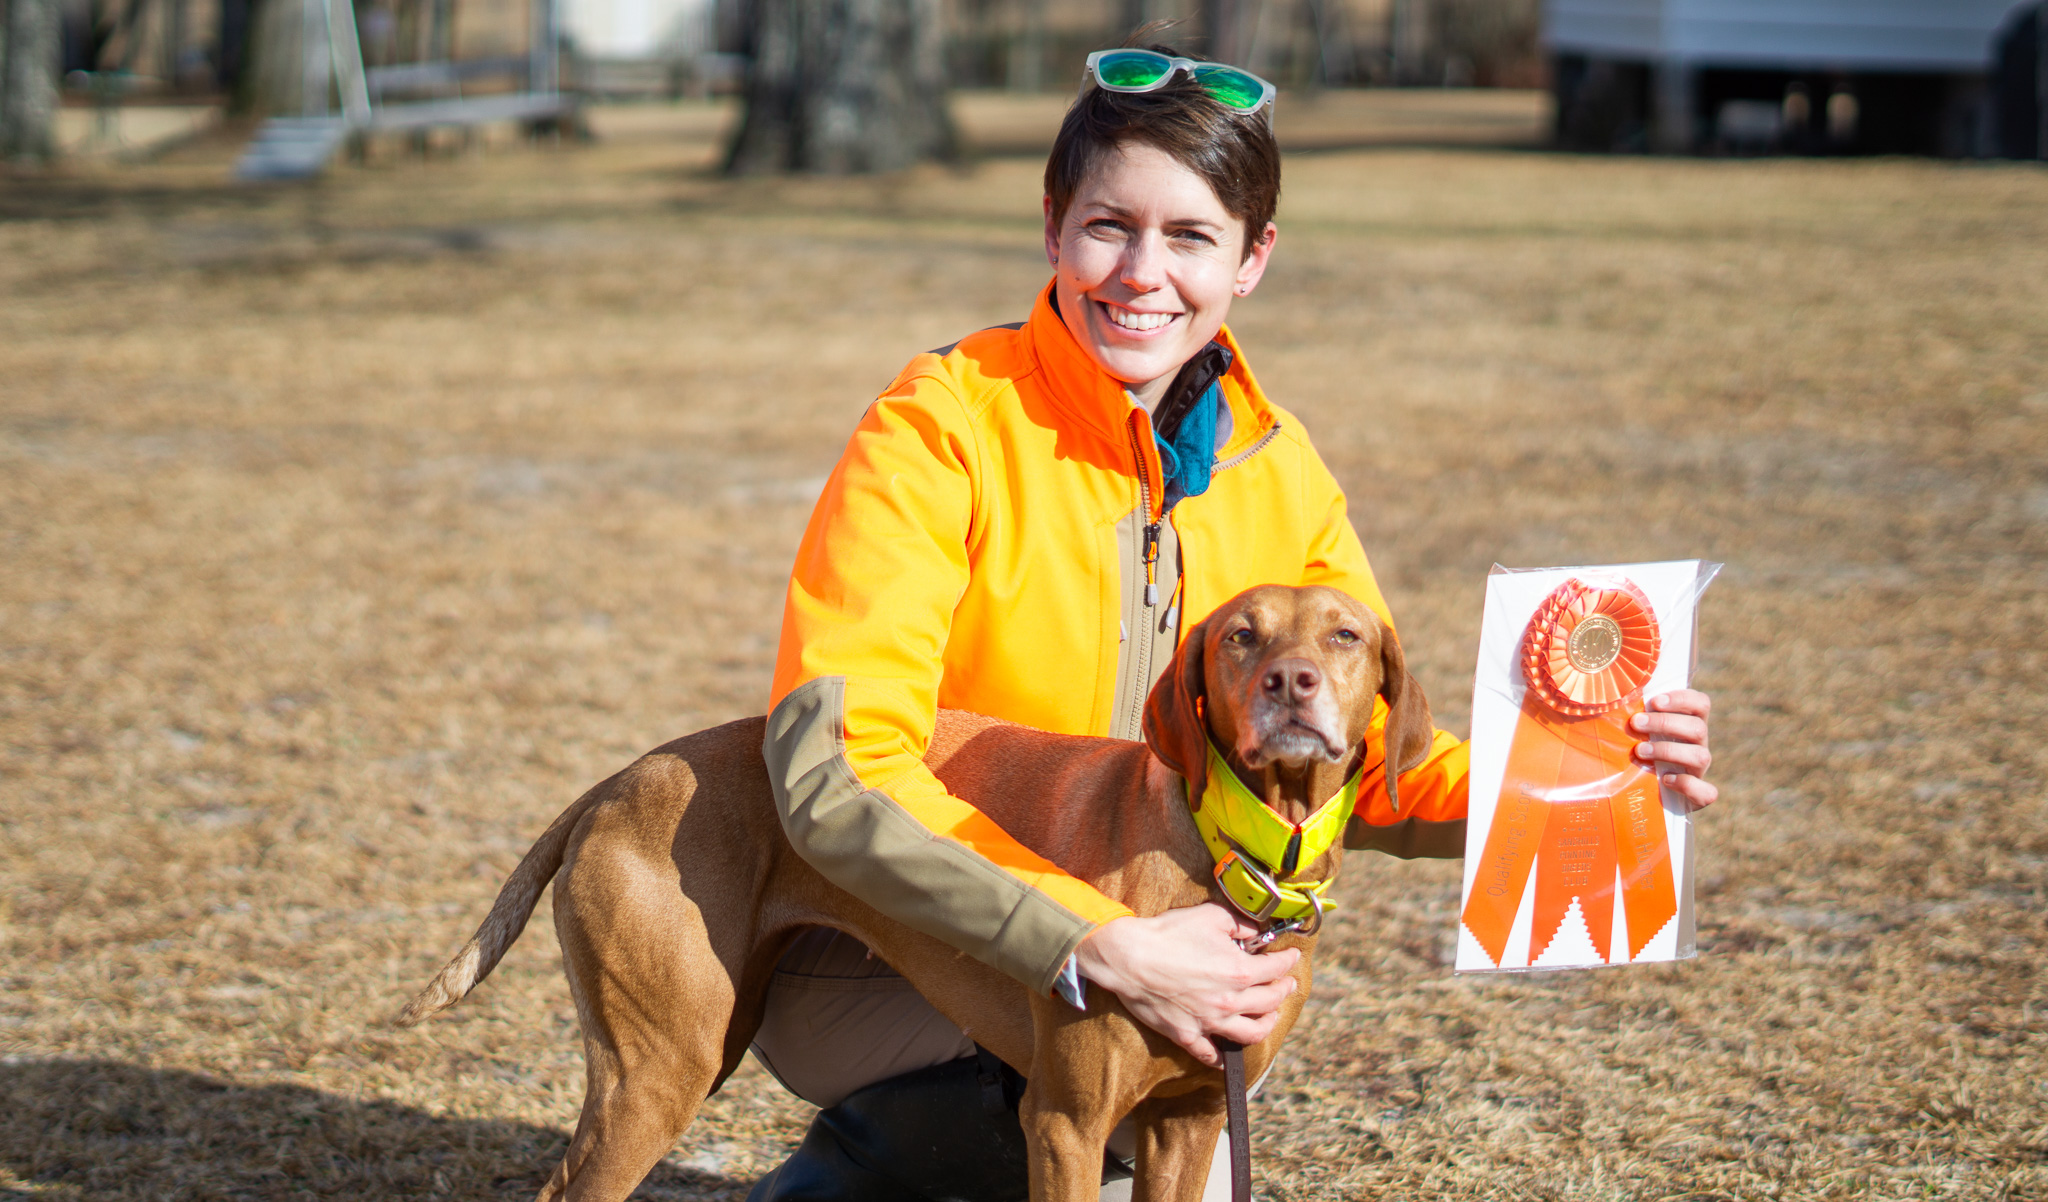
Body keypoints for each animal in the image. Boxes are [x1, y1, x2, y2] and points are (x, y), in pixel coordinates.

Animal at [391, 581, 1433, 1202]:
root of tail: (617, 780)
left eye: (1345, 634)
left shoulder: (1191, 1124)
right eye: (1241, 637)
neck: (1234, 854)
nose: (1291, 682)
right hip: (660, 1069)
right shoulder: (1065, 1124)